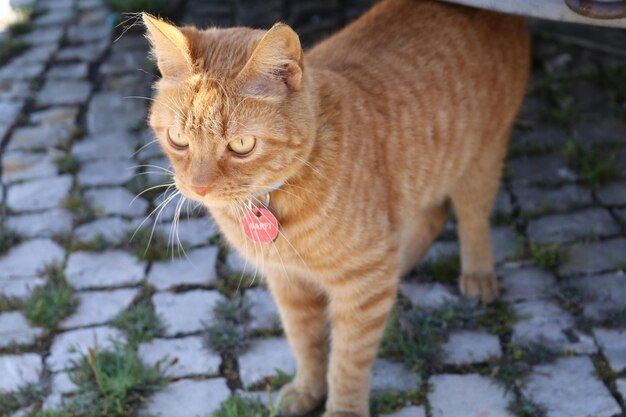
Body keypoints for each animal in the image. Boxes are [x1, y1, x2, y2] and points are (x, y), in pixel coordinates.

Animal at [141, 1, 528, 414]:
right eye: (178, 139)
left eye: (242, 145)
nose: (198, 186)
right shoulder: (288, 283)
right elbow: (305, 342)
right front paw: (307, 390)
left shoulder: (361, 283)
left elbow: (347, 360)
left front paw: (342, 408)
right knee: (430, 218)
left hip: (481, 160)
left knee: (471, 218)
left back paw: (477, 274)